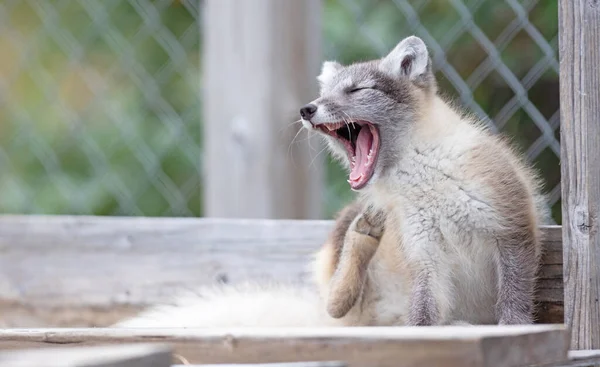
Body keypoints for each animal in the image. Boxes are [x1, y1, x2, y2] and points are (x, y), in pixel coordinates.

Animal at [113, 33, 548, 328]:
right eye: (326, 93)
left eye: (357, 90)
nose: (307, 109)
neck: (424, 179)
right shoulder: (425, 255)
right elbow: (423, 316)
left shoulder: (513, 230)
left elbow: (514, 302)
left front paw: (513, 327)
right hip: (348, 234)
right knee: (335, 303)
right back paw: (361, 242)